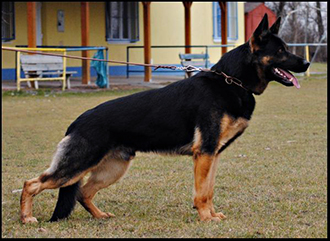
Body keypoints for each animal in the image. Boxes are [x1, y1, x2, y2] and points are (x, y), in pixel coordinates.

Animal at [20, 13, 310, 224]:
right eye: (281, 51)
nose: (307, 64)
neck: (232, 80)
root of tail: (77, 121)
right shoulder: (204, 153)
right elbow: (201, 193)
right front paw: (206, 218)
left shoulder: (213, 155)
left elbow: (209, 190)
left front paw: (211, 215)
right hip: (78, 166)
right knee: (31, 183)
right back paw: (27, 218)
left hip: (113, 169)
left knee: (82, 192)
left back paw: (100, 216)